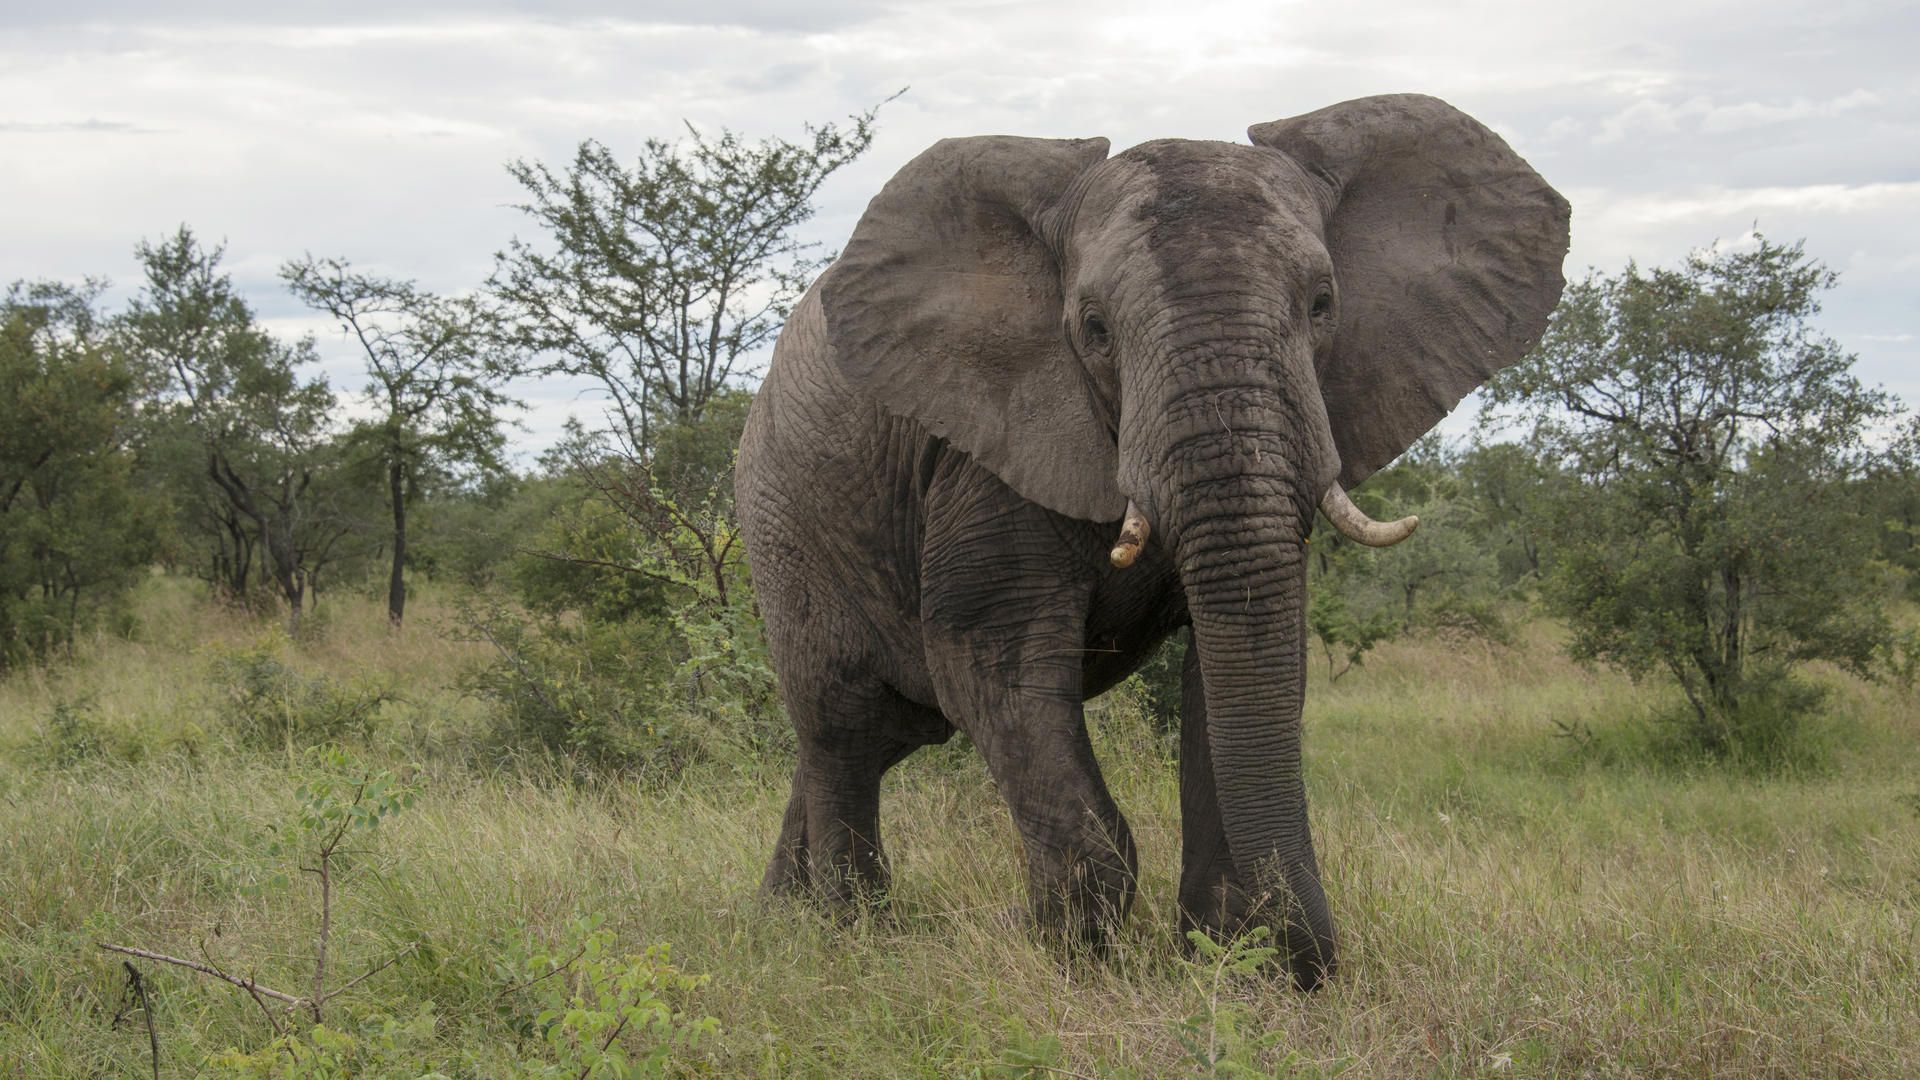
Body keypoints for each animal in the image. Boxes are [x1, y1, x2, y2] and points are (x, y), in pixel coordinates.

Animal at [734, 94, 1569, 988]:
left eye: (1322, 305)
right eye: (1094, 329)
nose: (1305, 966)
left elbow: (1239, 661)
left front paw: (1221, 958)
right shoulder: (986, 450)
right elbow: (992, 658)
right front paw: (1070, 960)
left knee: (863, 737)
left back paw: (780, 917)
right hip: (783, 519)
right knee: (842, 726)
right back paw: (850, 938)